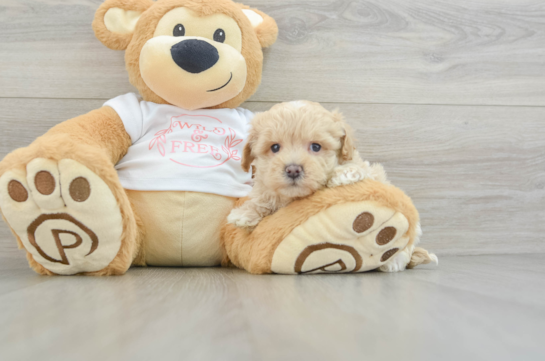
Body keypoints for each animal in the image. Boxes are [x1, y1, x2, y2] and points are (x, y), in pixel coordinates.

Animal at [225, 100, 386, 228]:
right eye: (275, 147)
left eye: (316, 147)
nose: (293, 170)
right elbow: (262, 197)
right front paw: (246, 212)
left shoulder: (374, 173)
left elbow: (366, 170)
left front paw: (345, 172)